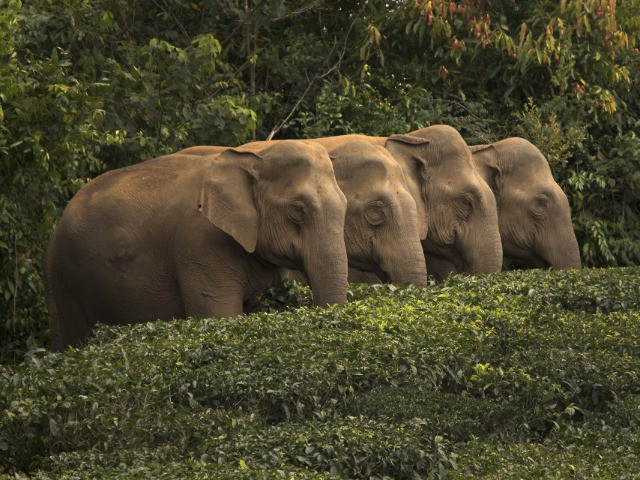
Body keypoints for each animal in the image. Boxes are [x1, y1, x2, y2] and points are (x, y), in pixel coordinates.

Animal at [45, 141, 349, 350]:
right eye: (297, 210)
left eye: (346, 204)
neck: (255, 156)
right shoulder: (200, 247)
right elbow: (220, 318)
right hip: (64, 279)